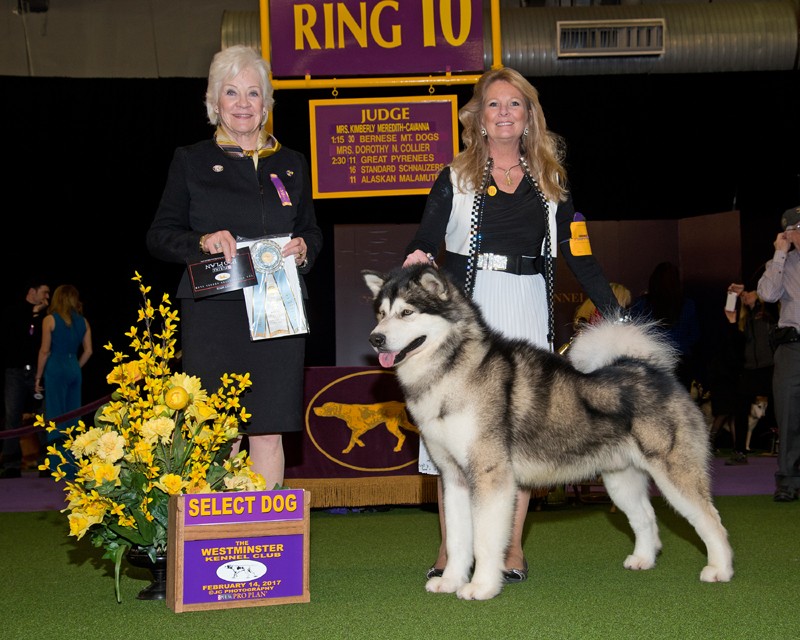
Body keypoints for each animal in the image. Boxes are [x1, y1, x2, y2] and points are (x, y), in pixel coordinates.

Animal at [362, 264, 732, 600]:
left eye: (407, 312)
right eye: (380, 313)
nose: (374, 338)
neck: (451, 369)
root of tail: (649, 369)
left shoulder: (490, 476)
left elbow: (484, 539)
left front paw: (481, 587)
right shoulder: (453, 478)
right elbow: (456, 539)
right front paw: (451, 581)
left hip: (675, 474)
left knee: (711, 520)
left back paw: (720, 569)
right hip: (620, 480)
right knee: (647, 518)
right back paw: (643, 559)